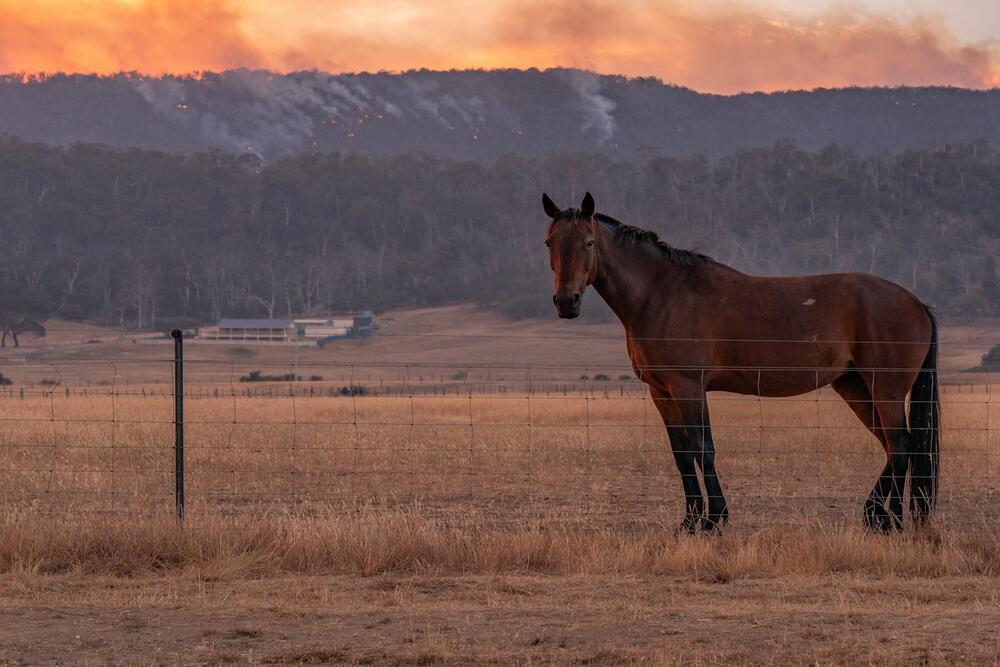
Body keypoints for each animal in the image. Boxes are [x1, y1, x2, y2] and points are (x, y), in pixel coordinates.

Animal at [540, 192, 936, 532]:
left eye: (588, 243)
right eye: (549, 243)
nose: (566, 302)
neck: (662, 294)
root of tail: (916, 302)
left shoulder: (688, 386)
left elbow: (703, 449)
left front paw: (713, 520)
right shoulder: (661, 391)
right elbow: (682, 454)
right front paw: (689, 522)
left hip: (885, 388)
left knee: (901, 444)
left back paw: (890, 519)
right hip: (853, 385)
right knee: (890, 445)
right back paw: (877, 516)